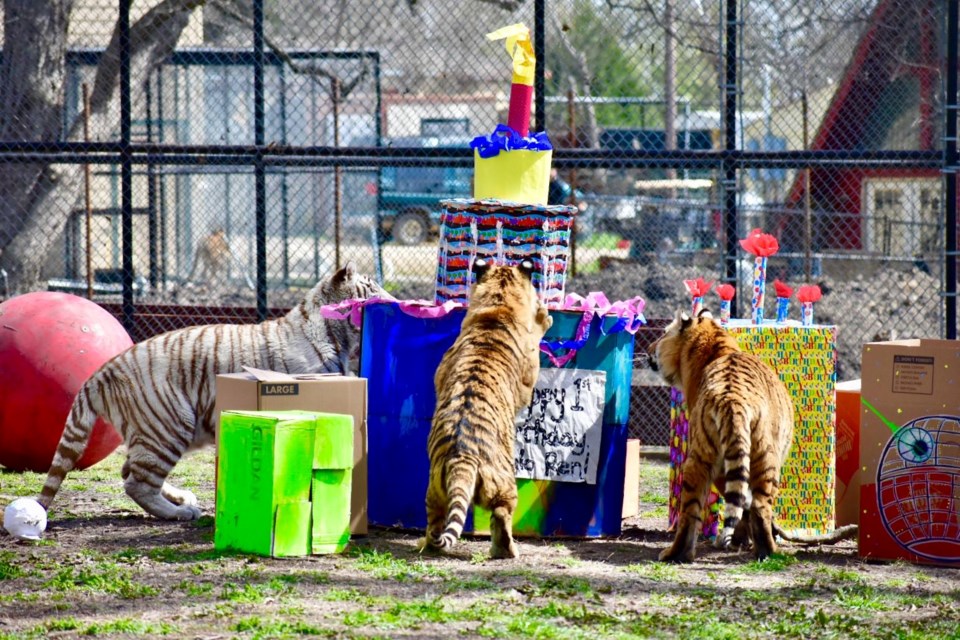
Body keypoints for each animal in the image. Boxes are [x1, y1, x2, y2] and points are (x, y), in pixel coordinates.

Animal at [37, 262, 390, 524]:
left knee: (129, 470)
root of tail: (103, 371)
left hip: (155, 432)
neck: (336, 335)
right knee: (137, 482)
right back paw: (181, 512)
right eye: (371, 287)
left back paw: (182, 498)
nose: (390, 298)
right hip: (169, 426)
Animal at [422, 258, 556, 556]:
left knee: (435, 523)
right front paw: (544, 315)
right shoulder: (529, 375)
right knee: (502, 514)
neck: (497, 307)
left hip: (434, 490)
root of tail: (463, 456)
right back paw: (506, 551)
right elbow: (537, 331)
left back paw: (428, 546)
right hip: (506, 484)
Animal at [648, 308, 800, 564]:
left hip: (701, 458)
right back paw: (770, 552)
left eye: (663, 334)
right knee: (759, 505)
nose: (650, 348)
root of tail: (731, 400)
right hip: (763, 457)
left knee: (691, 510)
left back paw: (677, 555)